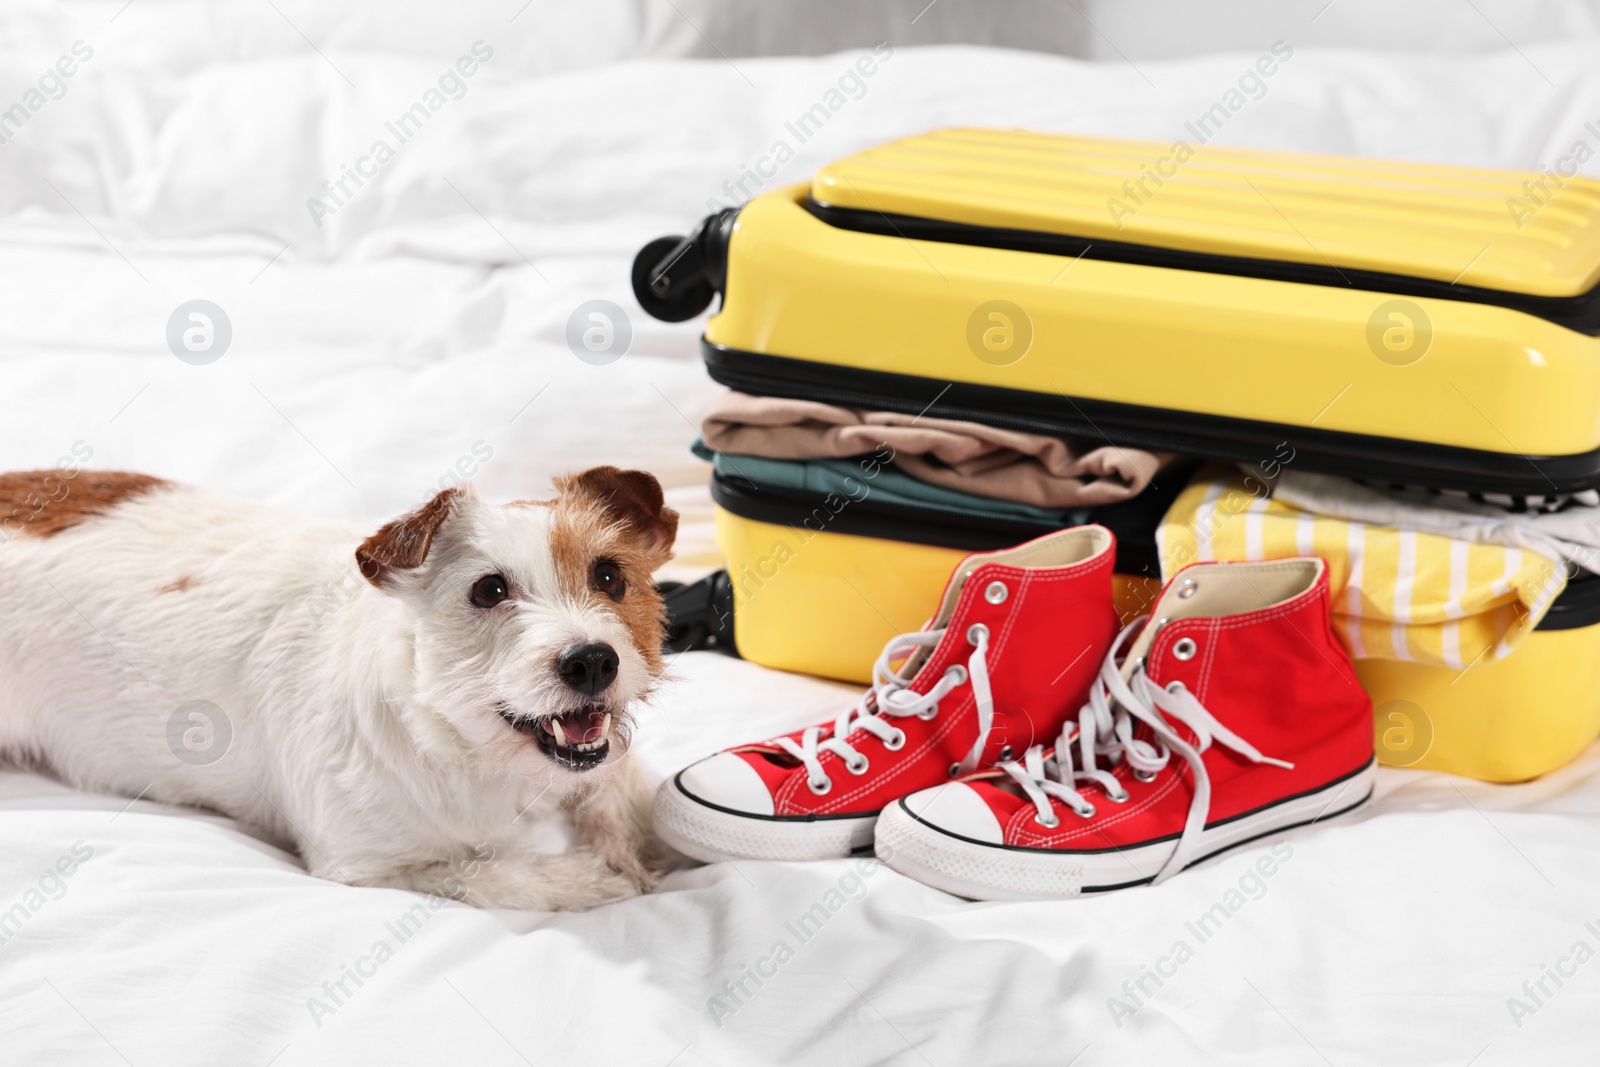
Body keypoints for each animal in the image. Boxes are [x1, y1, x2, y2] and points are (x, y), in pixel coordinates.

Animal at [0, 467, 681, 908]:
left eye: (609, 576)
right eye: (489, 590)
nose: (592, 662)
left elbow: (622, 783)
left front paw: (630, 837)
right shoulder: (365, 865)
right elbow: (482, 874)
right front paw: (588, 877)